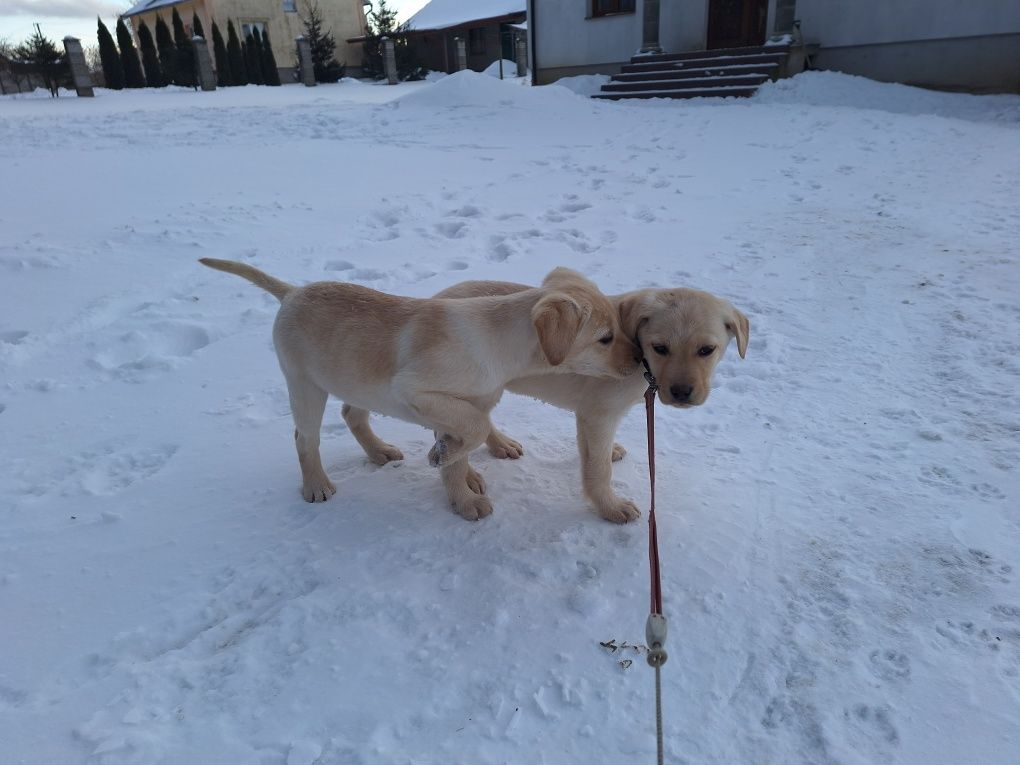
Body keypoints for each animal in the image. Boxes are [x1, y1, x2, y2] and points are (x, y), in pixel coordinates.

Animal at [196, 259, 636, 522]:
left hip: (352, 380)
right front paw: (457, 482)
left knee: (351, 414)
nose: (637, 363)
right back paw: (317, 485)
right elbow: (474, 428)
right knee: (305, 438)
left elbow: (468, 437)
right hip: (305, 384)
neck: (497, 340)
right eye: (606, 338)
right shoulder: (415, 390)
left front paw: (458, 481)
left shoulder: (465, 403)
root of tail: (292, 292)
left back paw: (379, 452)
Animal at [346, 281, 746, 526]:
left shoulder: (590, 417)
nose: (681, 392)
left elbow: (595, 456)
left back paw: (496, 447)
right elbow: (598, 470)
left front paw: (611, 456)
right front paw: (610, 507)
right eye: (660, 347)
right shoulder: (597, 414)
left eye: (707, 350)